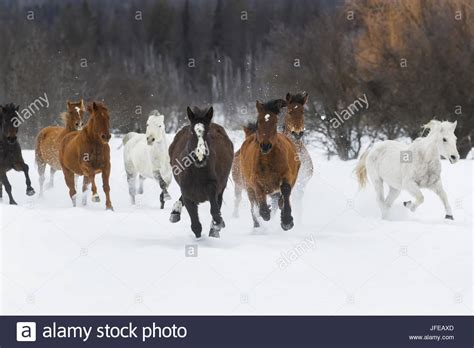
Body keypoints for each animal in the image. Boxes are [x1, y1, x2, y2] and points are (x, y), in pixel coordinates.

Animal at [168, 106, 233, 239]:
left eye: (207, 132)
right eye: (192, 132)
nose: (200, 157)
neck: (197, 172)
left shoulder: (213, 188)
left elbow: (215, 212)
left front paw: (217, 226)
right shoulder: (187, 193)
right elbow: (196, 225)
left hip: (221, 187)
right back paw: (175, 213)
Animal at [239, 99, 302, 230]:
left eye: (275, 122)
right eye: (258, 122)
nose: (265, 146)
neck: (268, 161)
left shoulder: (287, 176)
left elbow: (285, 190)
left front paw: (287, 221)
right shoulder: (255, 181)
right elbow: (260, 200)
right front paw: (265, 212)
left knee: (280, 199)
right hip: (248, 186)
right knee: (253, 204)